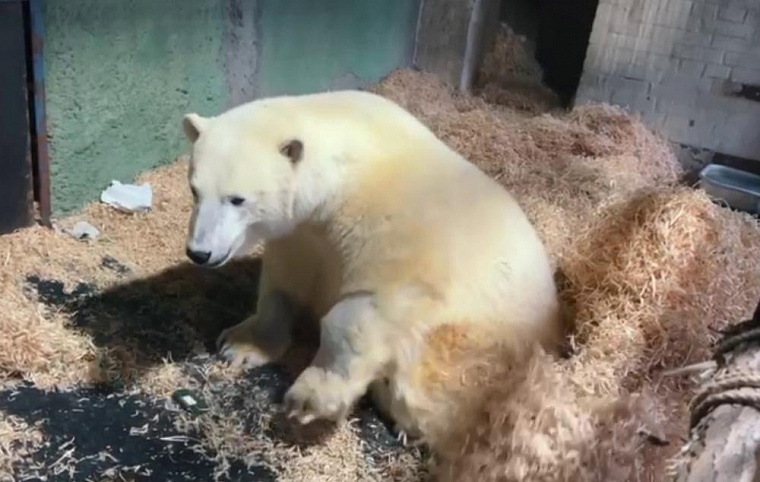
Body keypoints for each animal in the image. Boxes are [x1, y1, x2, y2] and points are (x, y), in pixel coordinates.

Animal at [181, 89, 564, 438]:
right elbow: (285, 280)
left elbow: (369, 310)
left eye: (237, 199)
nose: (199, 252)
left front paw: (310, 399)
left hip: (472, 347)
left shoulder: (396, 236)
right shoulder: (306, 234)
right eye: (195, 190)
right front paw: (240, 344)